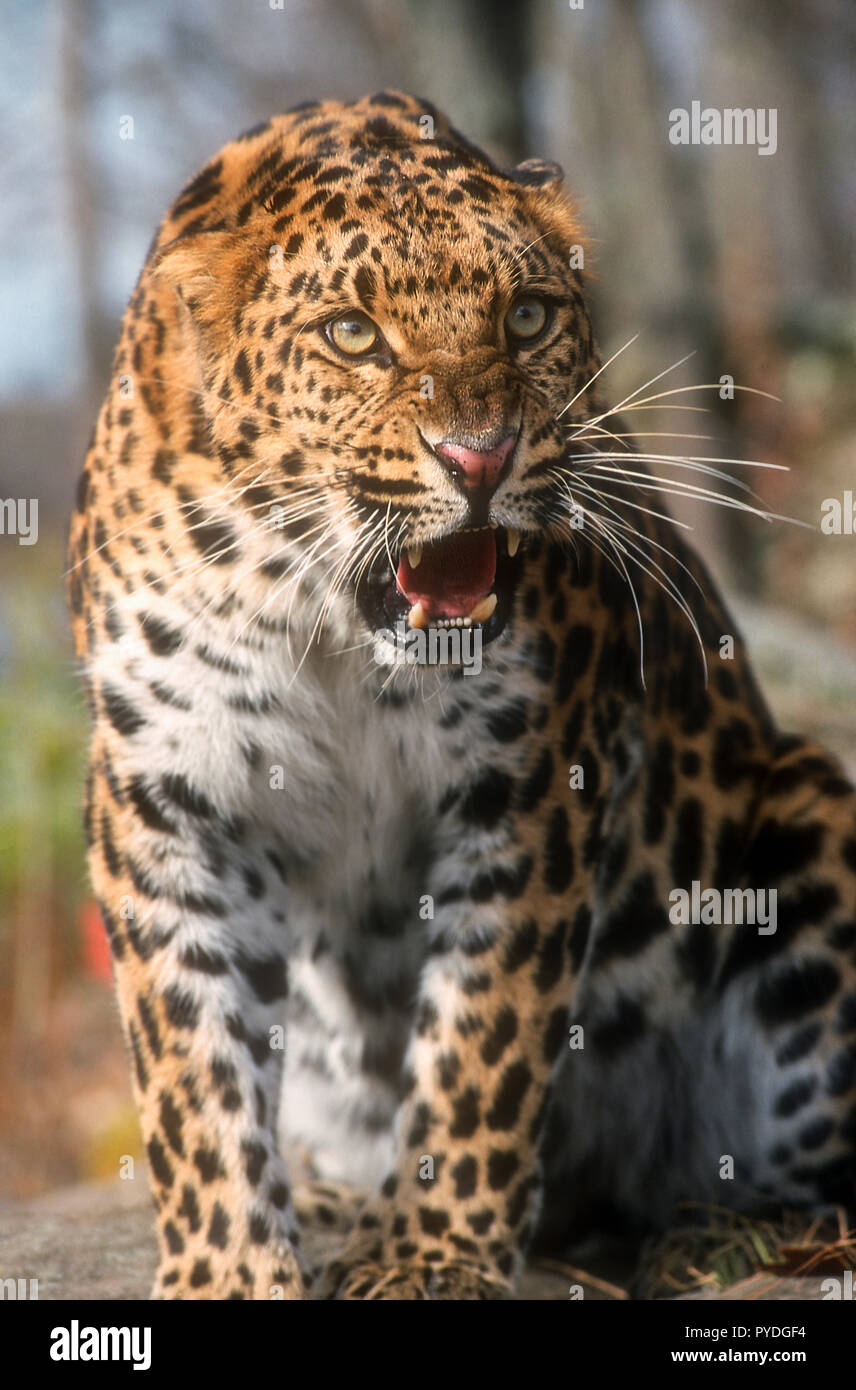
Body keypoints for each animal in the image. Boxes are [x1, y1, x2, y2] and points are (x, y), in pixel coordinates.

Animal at [66, 92, 856, 1295]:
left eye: (527, 318)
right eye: (353, 336)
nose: (479, 458)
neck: (332, 631)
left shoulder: (535, 783)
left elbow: (484, 1033)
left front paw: (429, 1254)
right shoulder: (167, 804)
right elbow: (192, 1066)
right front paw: (230, 1270)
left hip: (814, 813)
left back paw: (714, 1236)